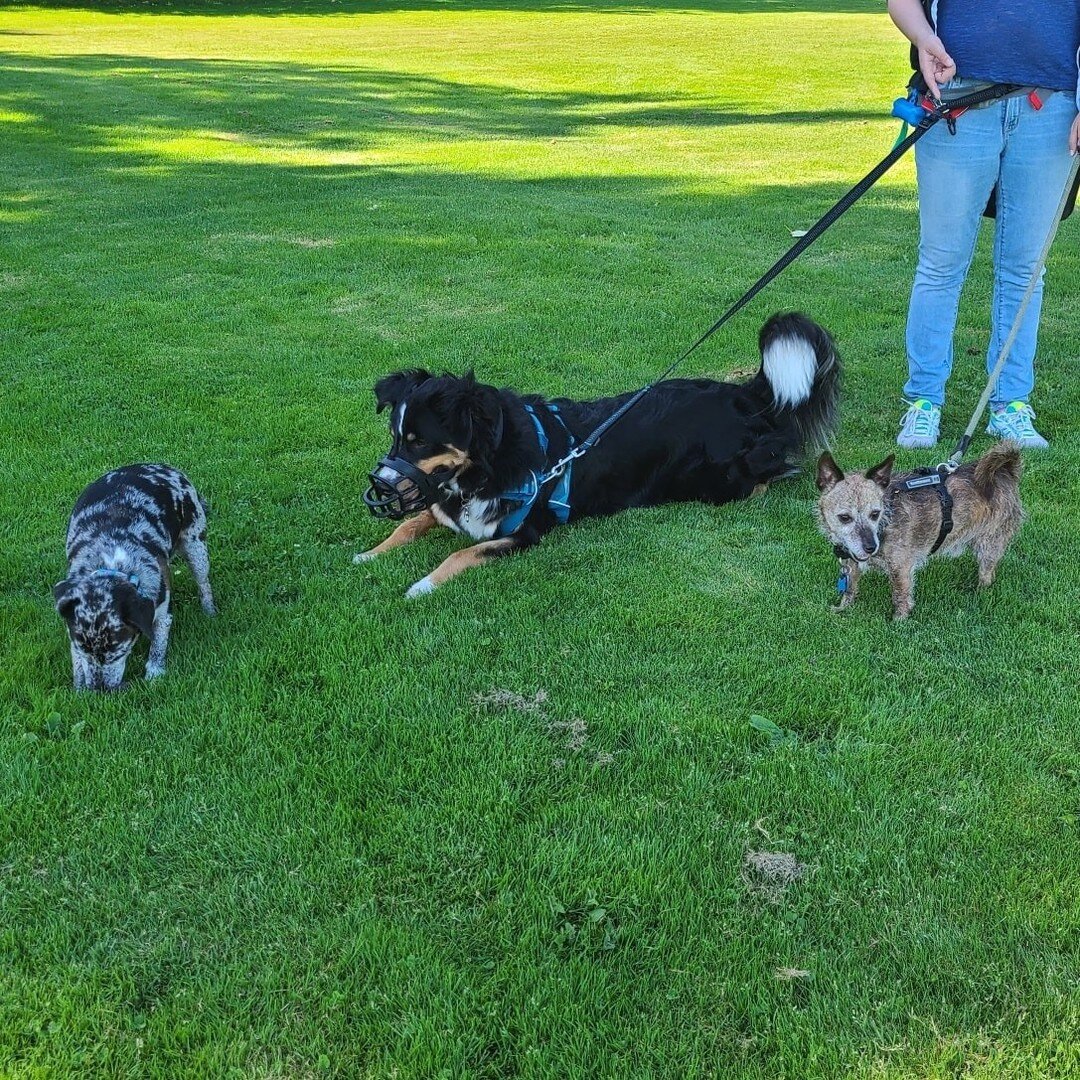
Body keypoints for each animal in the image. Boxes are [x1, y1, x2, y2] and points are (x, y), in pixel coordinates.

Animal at [53, 464, 216, 691]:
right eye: (83, 648)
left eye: (118, 651)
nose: (100, 688)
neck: (112, 562)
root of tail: (162, 465)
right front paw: (80, 686)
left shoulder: (162, 610)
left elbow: (158, 643)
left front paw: (155, 673)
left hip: (196, 544)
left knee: (203, 583)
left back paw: (210, 611)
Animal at [358, 311, 838, 600]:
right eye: (396, 437)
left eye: (420, 441)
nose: (382, 481)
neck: (488, 466)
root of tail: (741, 394)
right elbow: (409, 524)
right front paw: (370, 553)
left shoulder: (525, 534)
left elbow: (459, 554)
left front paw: (422, 584)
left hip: (718, 482)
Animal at [816, 442, 1019, 622]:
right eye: (844, 517)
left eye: (875, 513)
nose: (870, 547)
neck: (884, 523)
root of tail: (1004, 472)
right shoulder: (852, 563)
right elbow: (850, 586)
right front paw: (843, 607)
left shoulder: (901, 568)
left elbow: (900, 594)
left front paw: (899, 621)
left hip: (990, 543)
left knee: (987, 574)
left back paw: (979, 593)